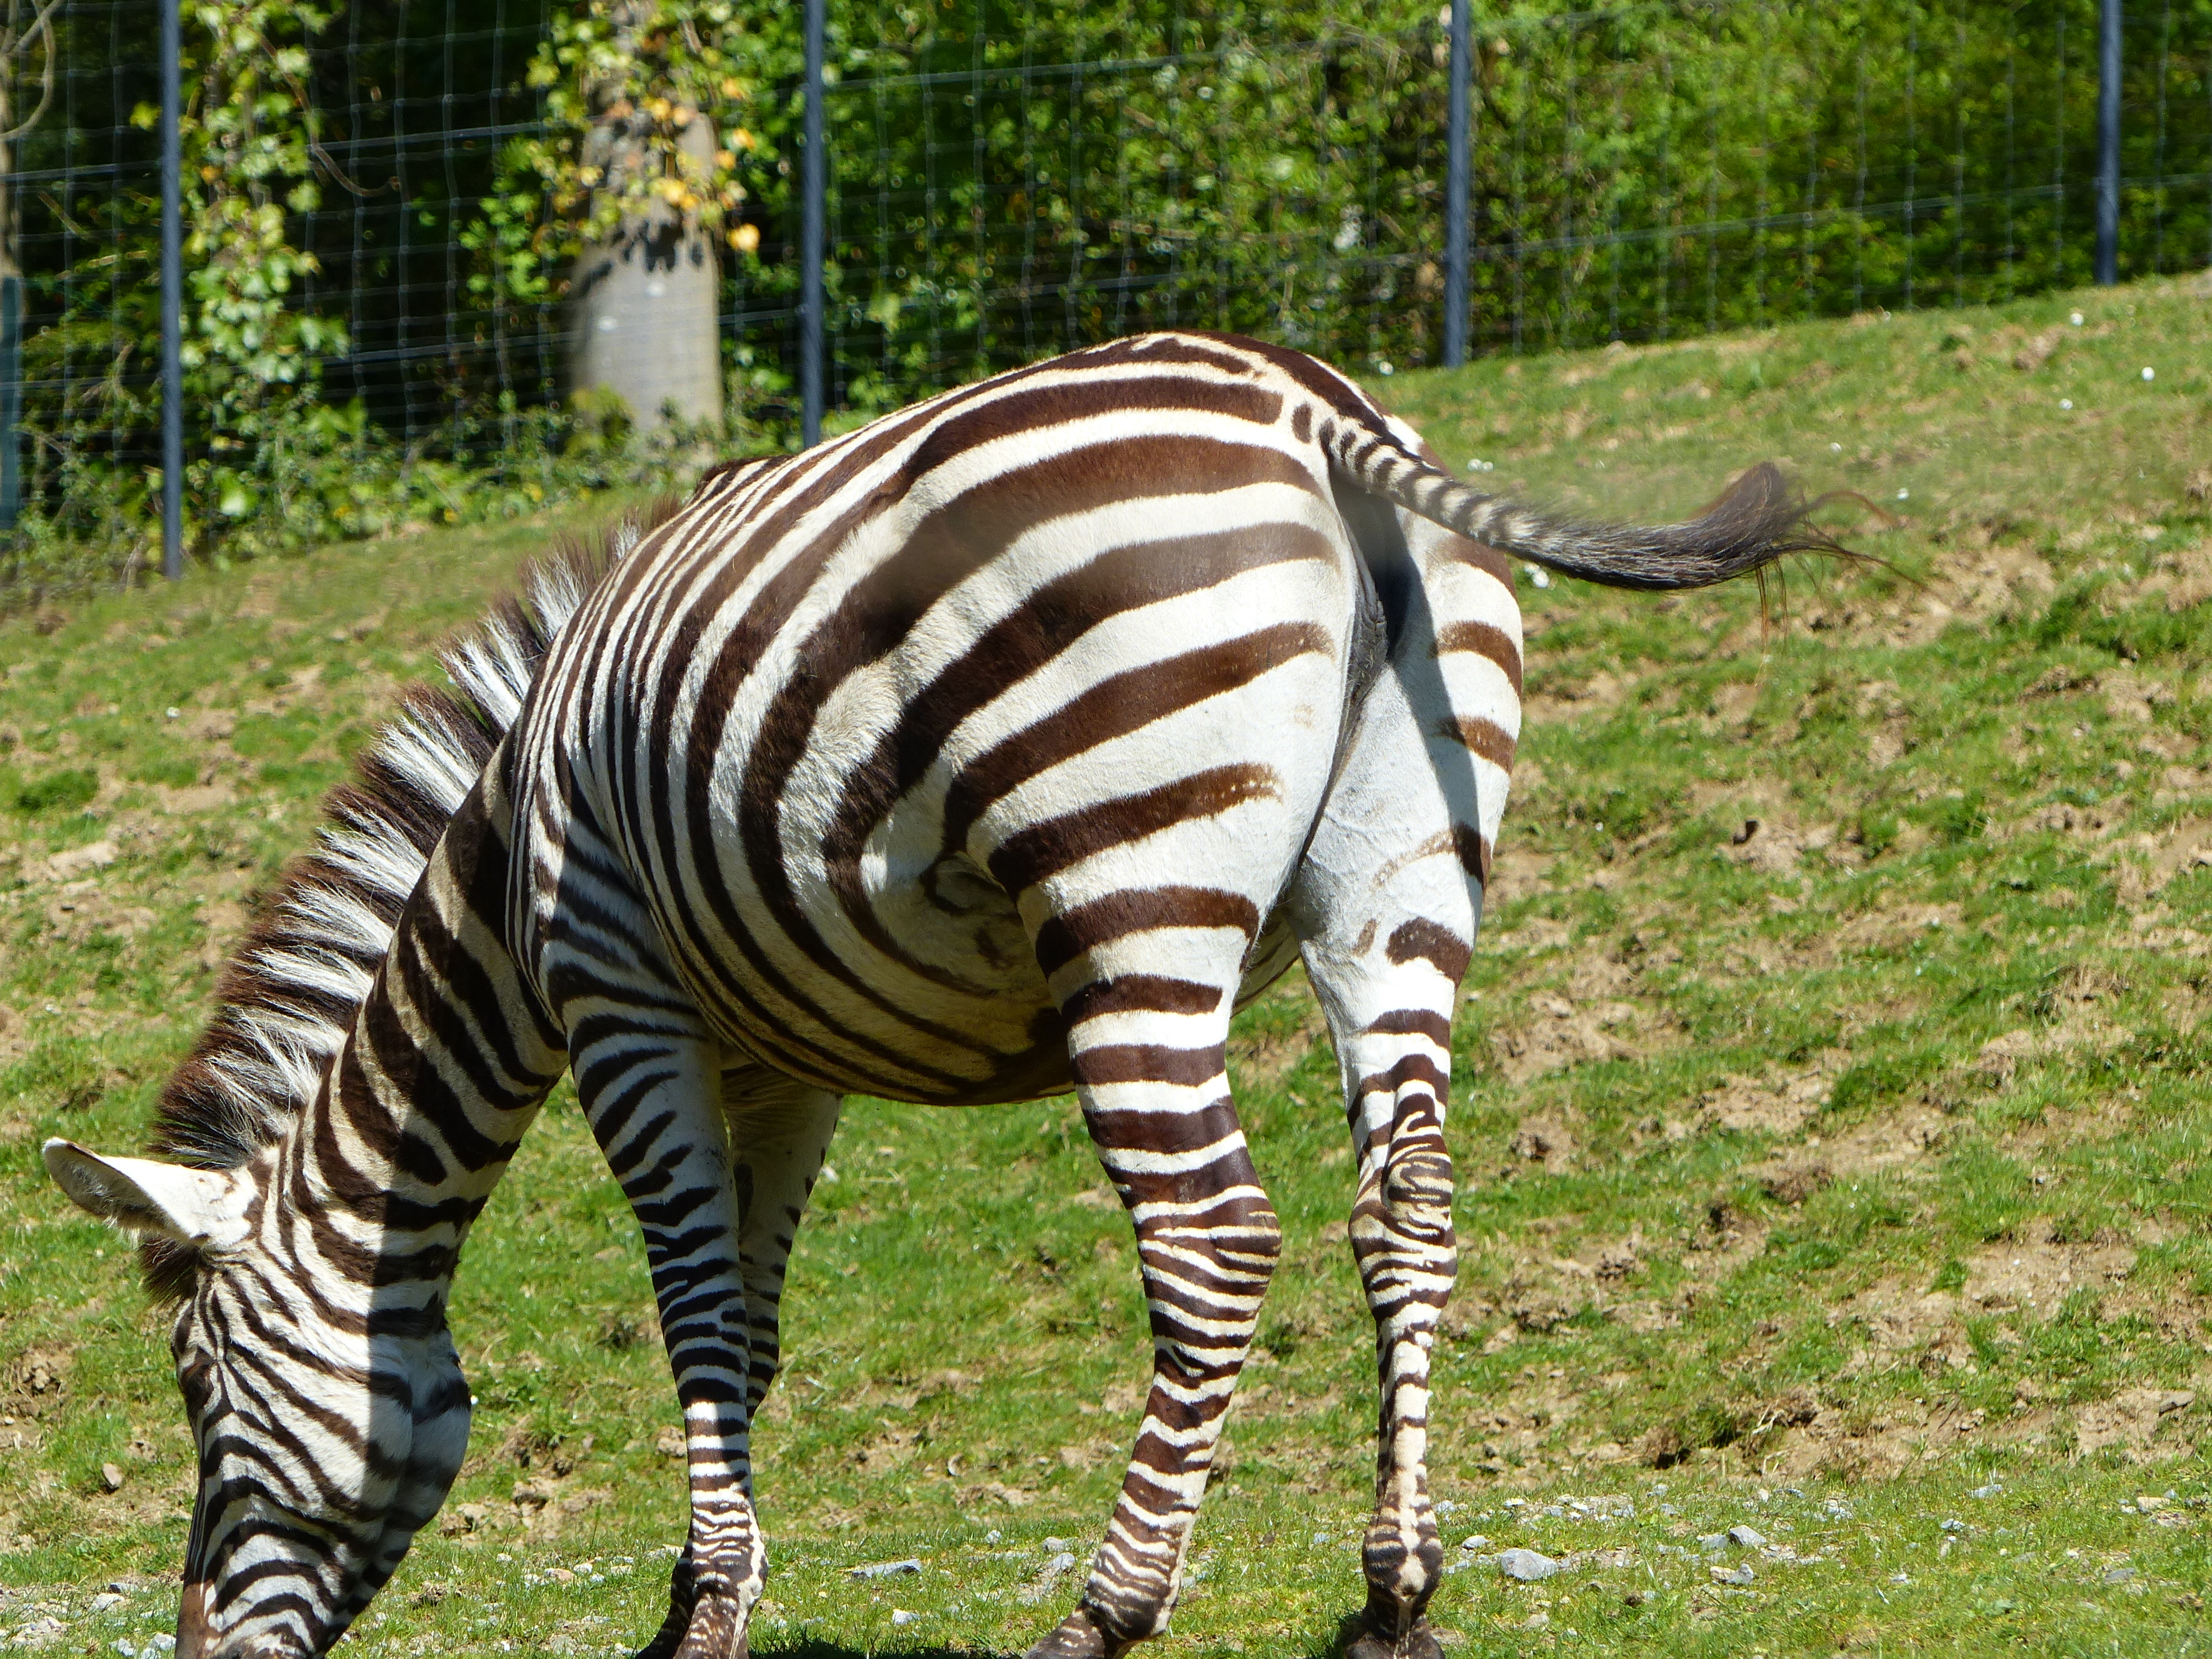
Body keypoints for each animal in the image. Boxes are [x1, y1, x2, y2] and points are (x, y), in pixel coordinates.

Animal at [44, 331, 1833, 1659]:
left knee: (1213, 1237)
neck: (502, 871)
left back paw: (1103, 1611)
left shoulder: (621, 996)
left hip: (1128, 885)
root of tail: (1312, 406)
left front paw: (702, 1613)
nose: (194, 1655)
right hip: (1402, 886)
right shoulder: (786, 1061)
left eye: (200, 1389)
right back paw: (1393, 1593)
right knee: (1407, 1207)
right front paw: (703, 1600)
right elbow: (751, 1328)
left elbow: (692, 1309)